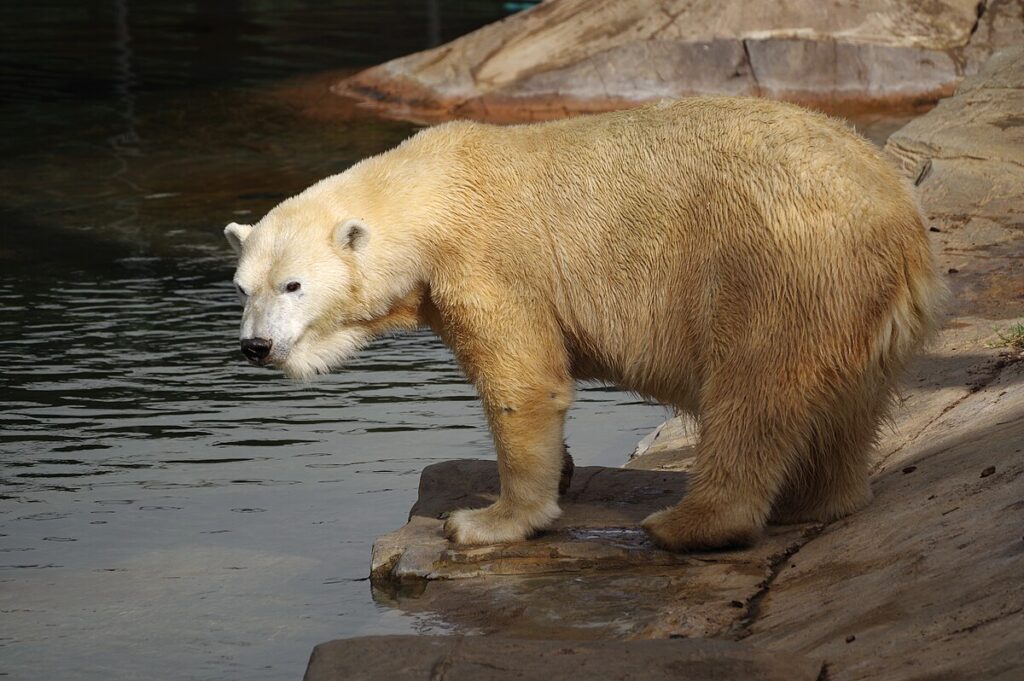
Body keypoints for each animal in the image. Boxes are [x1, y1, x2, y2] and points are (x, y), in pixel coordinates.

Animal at [226, 98, 942, 548]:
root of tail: (899, 218)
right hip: (852, 300)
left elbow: (524, 382)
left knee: (752, 389)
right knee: (847, 405)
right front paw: (564, 471)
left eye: (294, 285)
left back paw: (688, 524)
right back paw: (814, 500)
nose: (257, 346)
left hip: (777, 266)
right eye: (242, 287)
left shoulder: (490, 261)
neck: (431, 190)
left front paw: (484, 520)